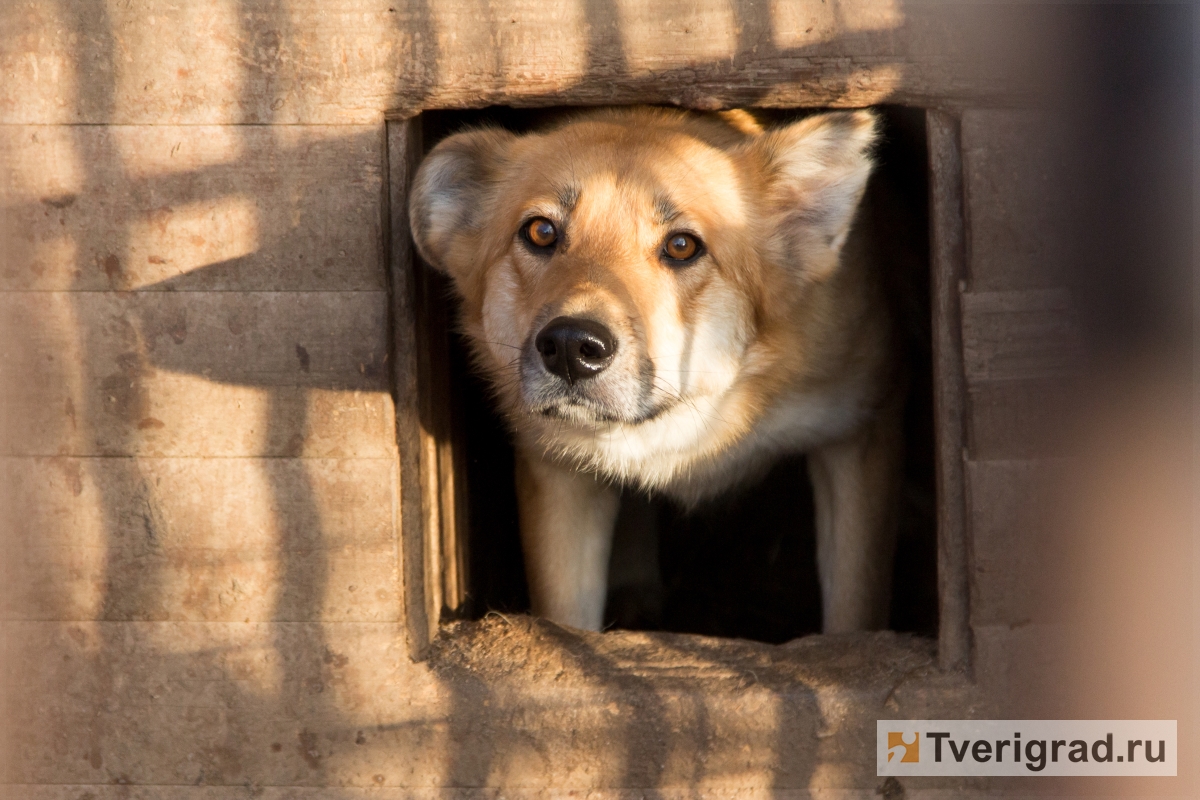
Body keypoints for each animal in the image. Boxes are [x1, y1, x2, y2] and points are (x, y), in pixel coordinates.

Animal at [410, 104, 902, 633]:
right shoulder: (558, 474)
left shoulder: (858, 435)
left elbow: (854, 612)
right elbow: (567, 621)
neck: (697, 413)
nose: (571, 347)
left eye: (682, 246)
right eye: (541, 232)